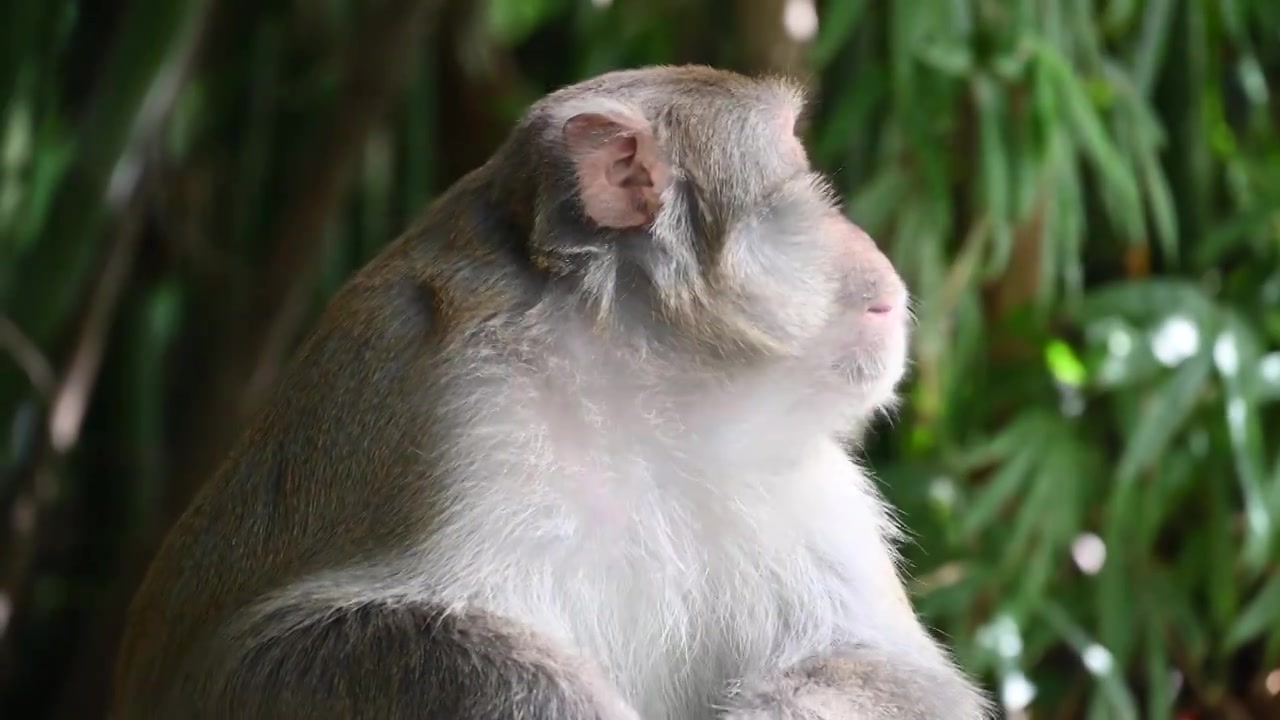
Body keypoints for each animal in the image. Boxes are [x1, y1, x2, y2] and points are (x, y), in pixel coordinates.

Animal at [112, 64, 988, 712]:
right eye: (802, 179)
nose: (865, 238)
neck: (651, 398)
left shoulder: (796, 466)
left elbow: (894, 668)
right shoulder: (462, 409)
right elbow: (266, 653)